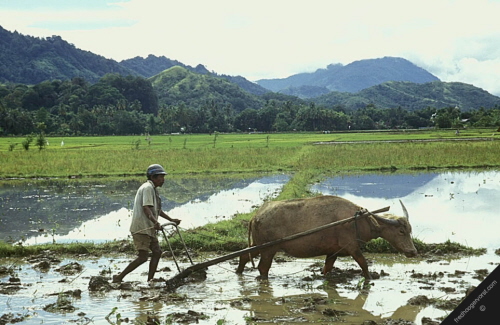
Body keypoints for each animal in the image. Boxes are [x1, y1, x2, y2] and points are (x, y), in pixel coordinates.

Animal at [236, 194, 416, 280]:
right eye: (401, 231)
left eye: (410, 230)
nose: (413, 252)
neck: (359, 219)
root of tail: (256, 215)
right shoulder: (352, 247)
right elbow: (363, 264)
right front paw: (370, 278)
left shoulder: (333, 252)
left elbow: (327, 268)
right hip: (268, 249)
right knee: (262, 268)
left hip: (258, 245)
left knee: (244, 255)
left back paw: (238, 273)